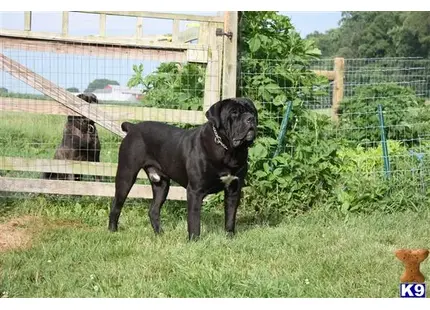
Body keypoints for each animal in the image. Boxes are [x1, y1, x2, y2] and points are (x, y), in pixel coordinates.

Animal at [109, 97, 256, 240]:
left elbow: (230, 216)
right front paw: (194, 241)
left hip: (161, 184)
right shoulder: (195, 191)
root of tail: (133, 127)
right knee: (116, 204)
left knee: (153, 210)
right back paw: (112, 231)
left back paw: (160, 234)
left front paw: (229, 238)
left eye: (252, 111)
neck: (230, 151)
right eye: (234, 113)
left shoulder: (234, 189)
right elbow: (194, 219)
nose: (250, 118)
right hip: (126, 175)